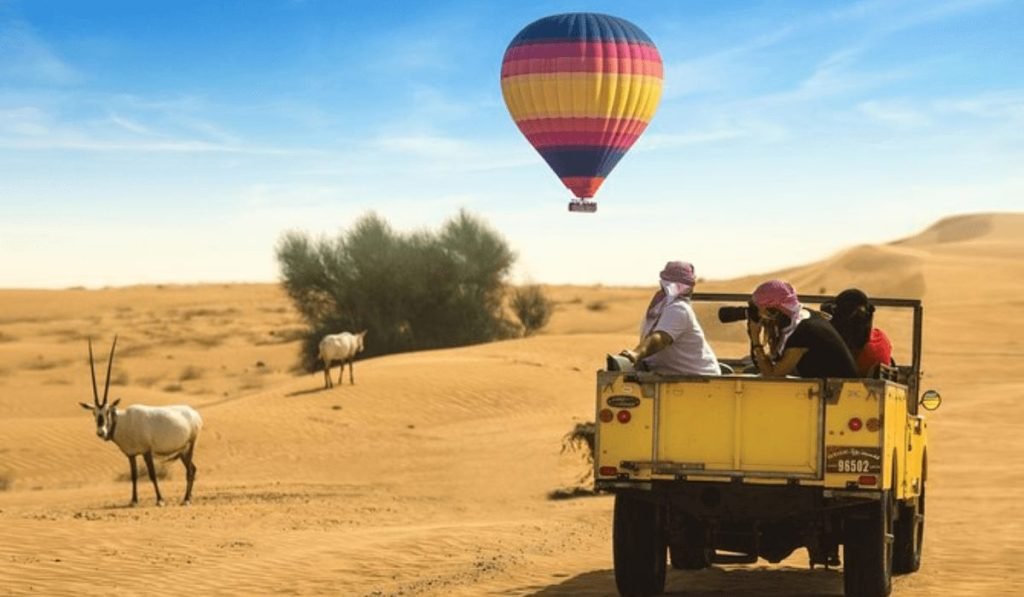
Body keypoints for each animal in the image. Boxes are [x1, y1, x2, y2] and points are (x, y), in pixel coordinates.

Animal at [77, 337, 201, 507]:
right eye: (94, 413)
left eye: (108, 411)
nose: (101, 432)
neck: (122, 421)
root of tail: (195, 414)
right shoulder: (131, 454)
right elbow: (134, 475)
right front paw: (134, 501)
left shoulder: (146, 451)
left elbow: (152, 474)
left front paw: (160, 500)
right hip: (182, 450)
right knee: (193, 469)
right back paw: (188, 497)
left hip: (190, 446)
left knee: (189, 470)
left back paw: (186, 499)